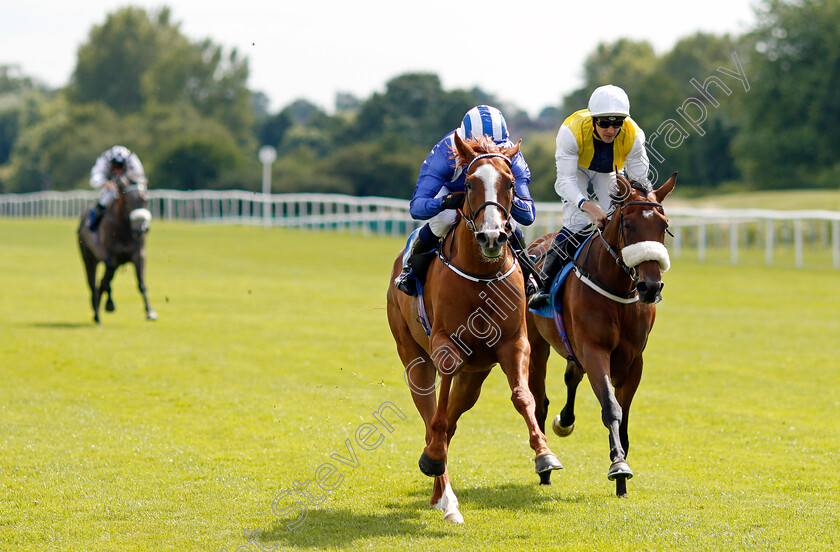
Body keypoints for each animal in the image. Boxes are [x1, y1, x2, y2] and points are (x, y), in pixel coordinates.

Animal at [76, 181, 157, 324]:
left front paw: (150, 312)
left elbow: (141, 284)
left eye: (145, 200)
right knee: (93, 283)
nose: (140, 229)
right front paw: (99, 310)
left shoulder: (138, 255)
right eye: (127, 200)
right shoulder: (110, 257)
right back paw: (97, 308)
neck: (123, 226)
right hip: (89, 257)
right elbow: (103, 283)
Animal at [388, 133, 560, 520]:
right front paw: (434, 463)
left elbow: (523, 395)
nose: (492, 237)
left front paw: (544, 454)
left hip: (476, 376)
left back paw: (439, 492)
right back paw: (446, 496)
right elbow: (439, 407)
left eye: (510, 183)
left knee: (451, 420)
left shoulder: (515, 342)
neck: (481, 274)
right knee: (430, 415)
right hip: (412, 355)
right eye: (467, 183)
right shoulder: (444, 340)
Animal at [528, 171, 680, 496]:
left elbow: (623, 414)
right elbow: (611, 407)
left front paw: (622, 476)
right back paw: (545, 464)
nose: (650, 287)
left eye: (663, 225)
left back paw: (565, 421)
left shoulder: (633, 360)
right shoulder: (595, 350)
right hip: (536, 346)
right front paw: (619, 466)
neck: (617, 288)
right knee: (539, 401)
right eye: (628, 224)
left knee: (572, 375)